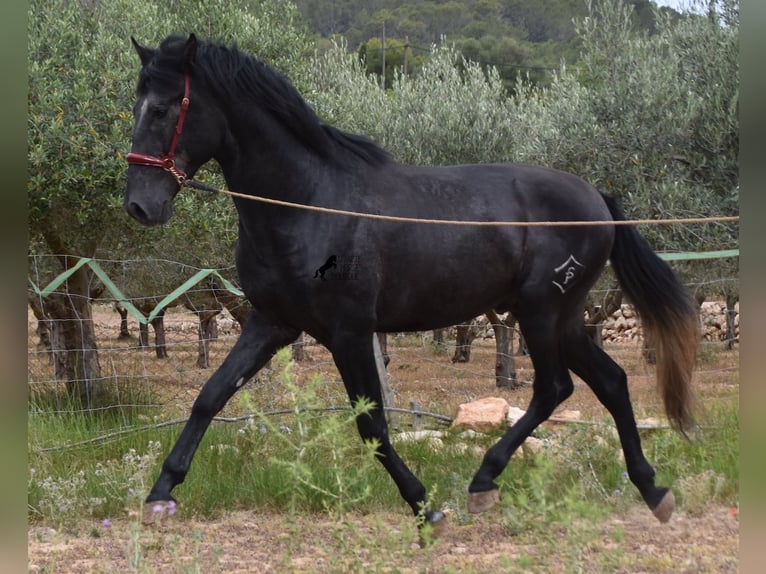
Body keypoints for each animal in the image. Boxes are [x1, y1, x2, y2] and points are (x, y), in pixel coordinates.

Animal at [123, 33, 700, 532]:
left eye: (164, 108)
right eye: (137, 106)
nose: (140, 206)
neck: (307, 202)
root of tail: (598, 199)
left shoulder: (349, 332)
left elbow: (372, 426)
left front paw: (425, 508)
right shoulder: (271, 323)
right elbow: (210, 396)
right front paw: (160, 495)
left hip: (542, 313)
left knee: (555, 387)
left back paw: (484, 481)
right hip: (562, 318)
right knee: (611, 381)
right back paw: (653, 491)